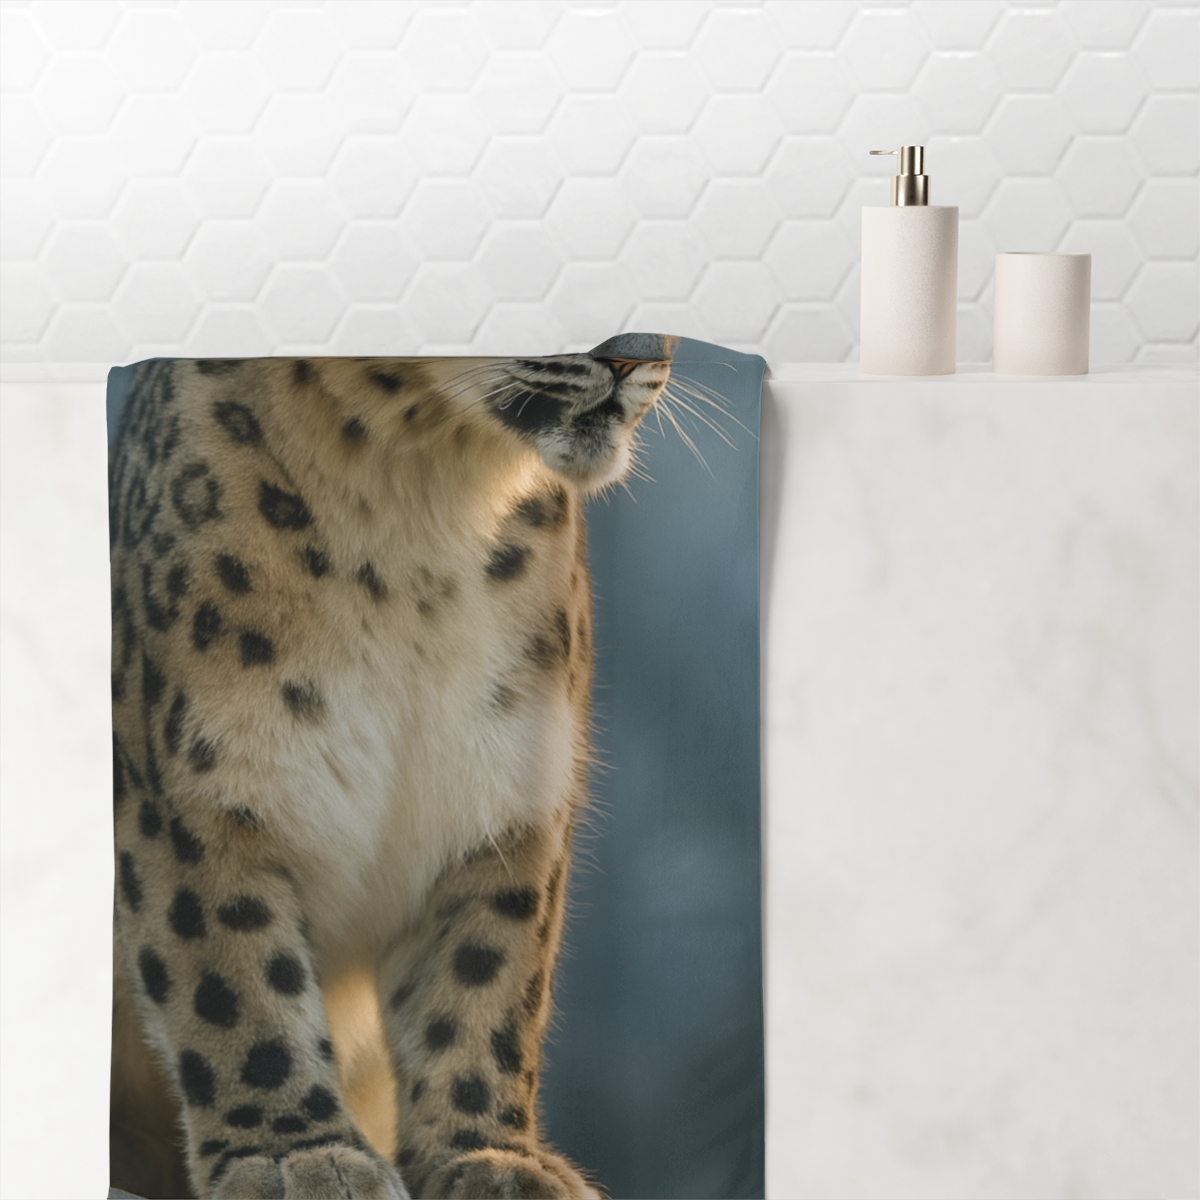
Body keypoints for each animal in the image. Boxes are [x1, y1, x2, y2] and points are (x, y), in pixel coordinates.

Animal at [108, 334, 677, 1200]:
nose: (635, 355)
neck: (424, 505)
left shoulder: (505, 796)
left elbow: (482, 978)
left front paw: (488, 1158)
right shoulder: (192, 786)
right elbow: (230, 968)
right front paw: (294, 1156)